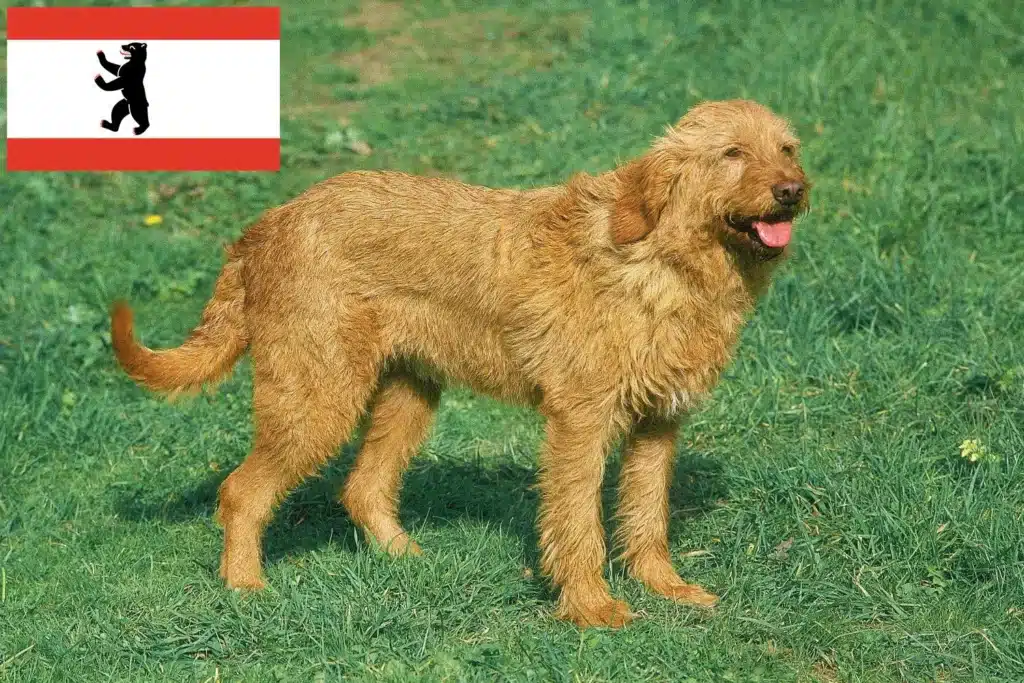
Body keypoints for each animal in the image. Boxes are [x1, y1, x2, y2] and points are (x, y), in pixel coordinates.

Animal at [112, 98, 811, 626]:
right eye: (731, 153)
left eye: (787, 148)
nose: (792, 192)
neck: (663, 261)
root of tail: (267, 225)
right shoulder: (580, 422)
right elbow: (578, 520)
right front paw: (592, 608)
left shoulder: (658, 424)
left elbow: (646, 516)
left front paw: (666, 588)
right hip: (317, 400)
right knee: (242, 490)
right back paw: (245, 587)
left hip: (408, 395)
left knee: (363, 487)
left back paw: (407, 559)